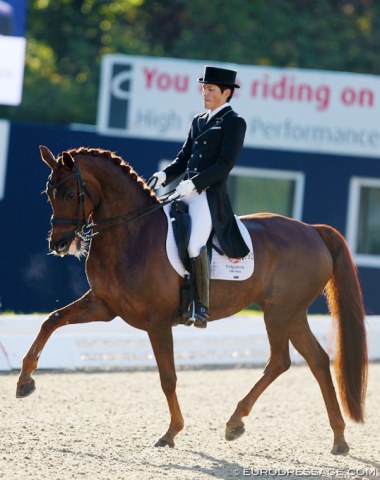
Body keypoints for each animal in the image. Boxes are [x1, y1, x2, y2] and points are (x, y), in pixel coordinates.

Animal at [15, 145, 368, 454]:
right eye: (48, 193)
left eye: (70, 194)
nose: (60, 244)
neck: (132, 232)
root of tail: (312, 229)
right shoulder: (104, 306)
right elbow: (52, 321)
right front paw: (24, 381)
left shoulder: (157, 321)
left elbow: (167, 377)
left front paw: (171, 433)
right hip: (291, 313)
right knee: (317, 360)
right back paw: (338, 439)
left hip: (279, 313)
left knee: (280, 361)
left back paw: (235, 422)